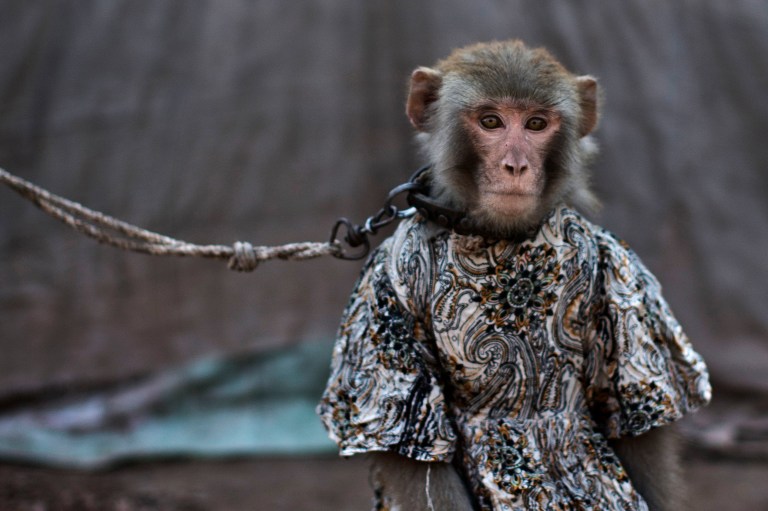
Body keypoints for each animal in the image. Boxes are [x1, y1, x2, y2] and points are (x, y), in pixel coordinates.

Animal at [318, 40, 711, 511]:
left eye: (536, 124)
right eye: (491, 122)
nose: (516, 165)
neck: (497, 238)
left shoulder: (623, 274)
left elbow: (639, 431)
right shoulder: (382, 292)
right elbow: (415, 453)